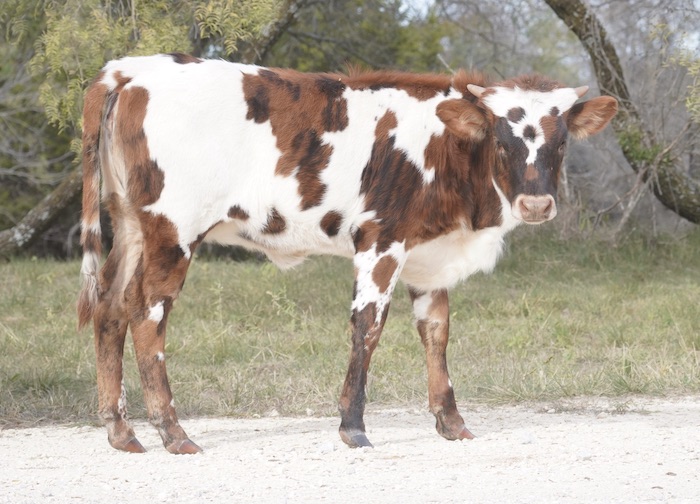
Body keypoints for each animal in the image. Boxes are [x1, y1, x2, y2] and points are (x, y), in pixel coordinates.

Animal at [75, 53, 612, 454]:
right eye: (501, 141)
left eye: (562, 143)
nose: (536, 204)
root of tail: (129, 69)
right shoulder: (380, 238)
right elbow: (368, 326)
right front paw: (353, 425)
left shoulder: (431, 256)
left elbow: (436, 332)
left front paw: (451, 421)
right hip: (173, 230)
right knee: (147, 313)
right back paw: (173, 432)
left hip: (130, 225)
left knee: (110, 307)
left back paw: (121, 432)